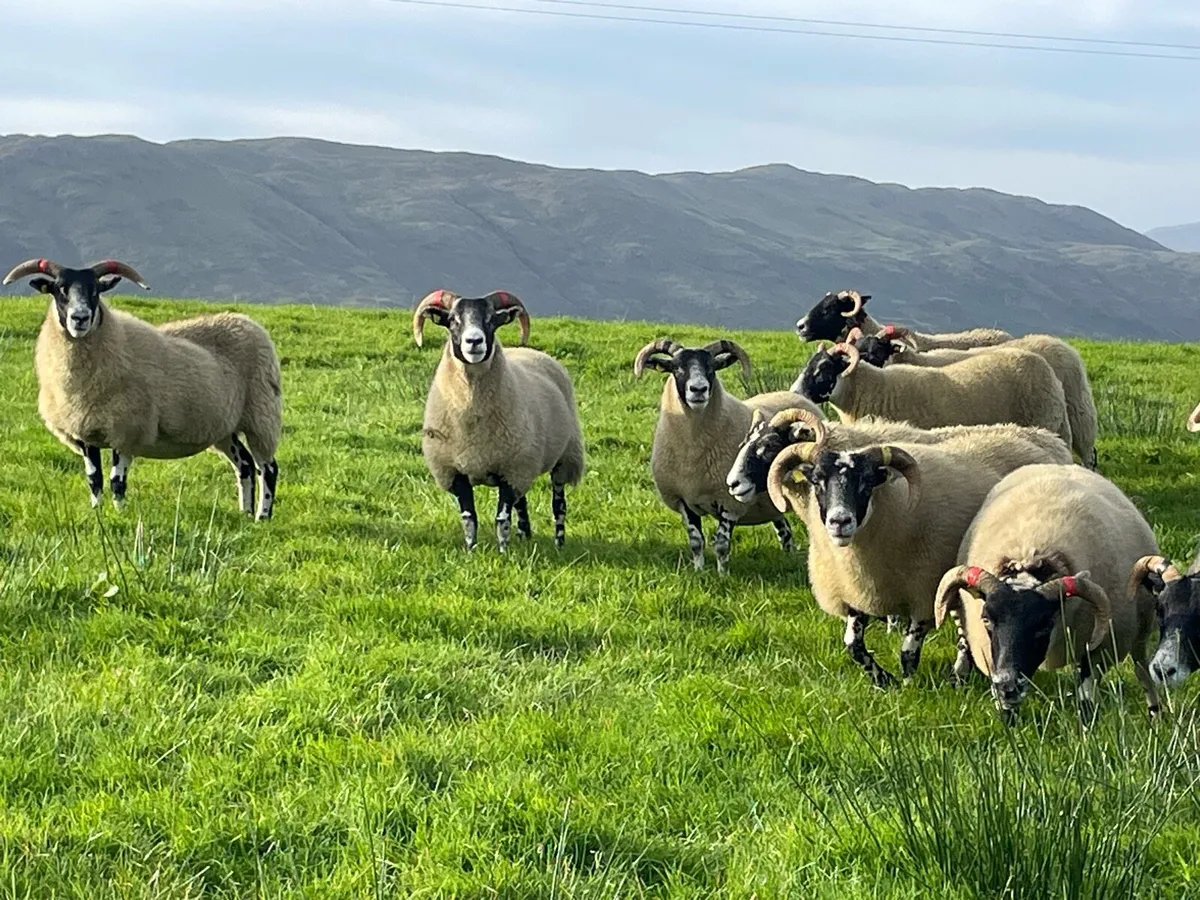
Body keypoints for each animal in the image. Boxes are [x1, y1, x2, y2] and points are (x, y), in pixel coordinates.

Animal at [3, 258, 282, 519]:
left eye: (96, 291)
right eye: (59, 289)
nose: (80, 318)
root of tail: (246, 321)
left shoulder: (128, 430)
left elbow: (117, 481)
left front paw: (120, 515)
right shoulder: (85, 433)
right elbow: (94, 480)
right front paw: (97, 513)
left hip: (261, 415)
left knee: (267, 467)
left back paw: (262, 516)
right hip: (224, 426)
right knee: (244, 464)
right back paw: (245, 513)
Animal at [414, 289, 584, 552]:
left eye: (491, 319)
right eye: (453, 320)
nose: (474, 342)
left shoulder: (510, 471)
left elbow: (501, 518)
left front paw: (503, 552)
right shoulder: (456, 472)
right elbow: (469, 517)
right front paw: (471, 551)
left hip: (564, 457)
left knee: (559, 505)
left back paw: (559, 544)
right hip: (524, 462)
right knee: (522, 503)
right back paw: (525, 536)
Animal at [634, 337, 823, 574]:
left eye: (711, 368)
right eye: (677, 368)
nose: (698, 389)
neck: (692, 452)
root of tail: (798, 395)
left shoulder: (729, 502)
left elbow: (722, 544)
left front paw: (722, 575)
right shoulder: (683, 500)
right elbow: (696, 541)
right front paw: (699, 572)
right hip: (770, 503)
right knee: (785, 530)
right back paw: (787, 557)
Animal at [763, 423, 1064, 686]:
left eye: (867, 482)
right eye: (817, 481)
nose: (840, 521)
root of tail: (1039, 437)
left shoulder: (924, 592)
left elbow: (908, 651)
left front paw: (908, 685)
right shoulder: (856, 594)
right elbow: (853, 645)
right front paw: (882, 680)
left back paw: (958, 677)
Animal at [935, 465, 1161, 723]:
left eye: (1044, 625)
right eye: (986, 619)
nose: (1008, 685)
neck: (1031, 553)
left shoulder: (1097, 650)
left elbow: (1086, 700)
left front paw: (1086, 729)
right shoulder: (991, 655)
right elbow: (1006, 708)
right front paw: (1010, 725)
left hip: (1139, 630)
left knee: (1142, 670)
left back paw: (1155, 714)